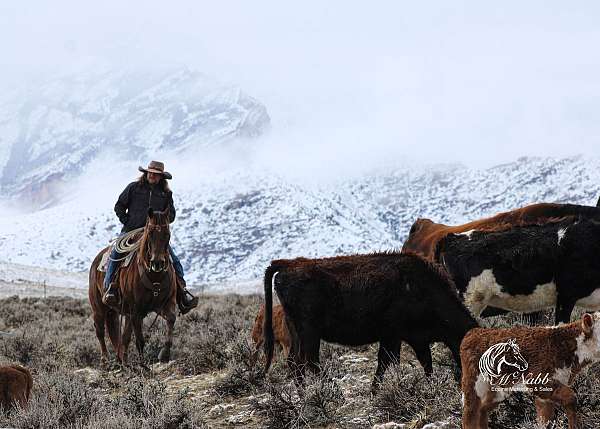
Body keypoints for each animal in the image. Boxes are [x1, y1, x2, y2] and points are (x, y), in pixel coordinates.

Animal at [89, 207, 177, 364]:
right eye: (150, 233)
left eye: (167, 234)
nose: (157, 263)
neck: (154, 277)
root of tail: (96, 261)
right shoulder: (136, 311)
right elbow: (139, 340)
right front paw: (143, 365)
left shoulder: (165, 304)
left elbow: (171, 319)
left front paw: (164, 354)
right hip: (98, 307)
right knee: (100, 331)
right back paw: (105, 359)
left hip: (119, 313)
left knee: (122, 337)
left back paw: (122, 361)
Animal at [262, 251, 478, 388]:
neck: (419, 288)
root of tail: (289, 264)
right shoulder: (392, 335)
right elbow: (386, 362)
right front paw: (376, 390)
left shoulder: (410, 339)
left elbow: (422, 362)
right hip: (310, 332)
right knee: (309, 361)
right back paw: (331, 392)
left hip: (296, 331)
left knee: (295, 363)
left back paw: (304, 395)